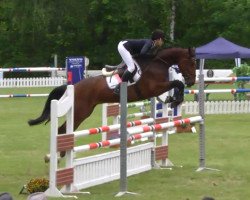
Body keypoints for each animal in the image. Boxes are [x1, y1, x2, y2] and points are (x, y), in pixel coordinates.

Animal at [28, 47, 196, 156]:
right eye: (191, 63)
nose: (192, 81)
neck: (158, 63)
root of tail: (74, 86)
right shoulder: (154, 88)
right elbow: (177, 83)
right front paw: (175, 100)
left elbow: (176, 85)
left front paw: (172, 99)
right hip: (80, 112)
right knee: (62, 129)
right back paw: (60, 155)